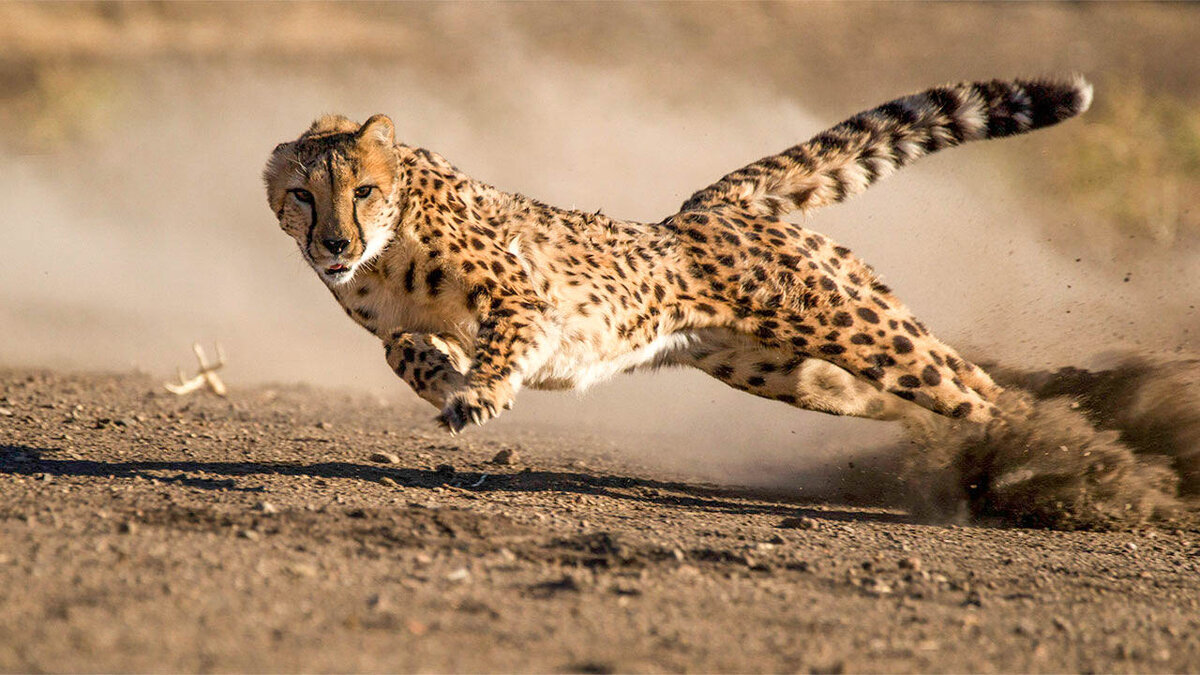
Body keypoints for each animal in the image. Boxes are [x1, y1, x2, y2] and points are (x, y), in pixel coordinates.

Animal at [265, 74, 1099, 429]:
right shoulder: (400, 320)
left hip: (849, 324)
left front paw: (476, 393)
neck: (384, 251)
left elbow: (500, 342)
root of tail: (710, 205)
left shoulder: (523, 298)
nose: (333, 240)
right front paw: (442, 377)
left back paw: (1062, 451)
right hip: (786, 369)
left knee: (974, 387)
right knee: (926, 393)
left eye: (361, 189)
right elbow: (400, 350)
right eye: (302, 195)